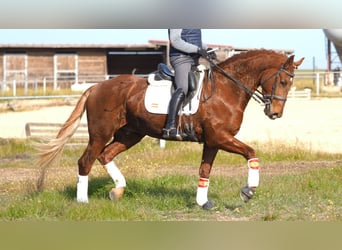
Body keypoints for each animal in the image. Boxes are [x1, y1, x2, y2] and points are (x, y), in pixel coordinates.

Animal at [36, 49, 304, 209]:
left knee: (105, 156)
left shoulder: (212, 141)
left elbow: (205, 170)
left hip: (131, 134)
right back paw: (83, 200)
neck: (227, 89)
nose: (275, 113)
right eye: (282, 81)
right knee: (86, 160)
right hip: (101, 133)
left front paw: (203, 202)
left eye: (290, 83)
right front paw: (248, 191)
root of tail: (97, 87)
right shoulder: (221, 137)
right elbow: (251, 153)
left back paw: (118, 191)